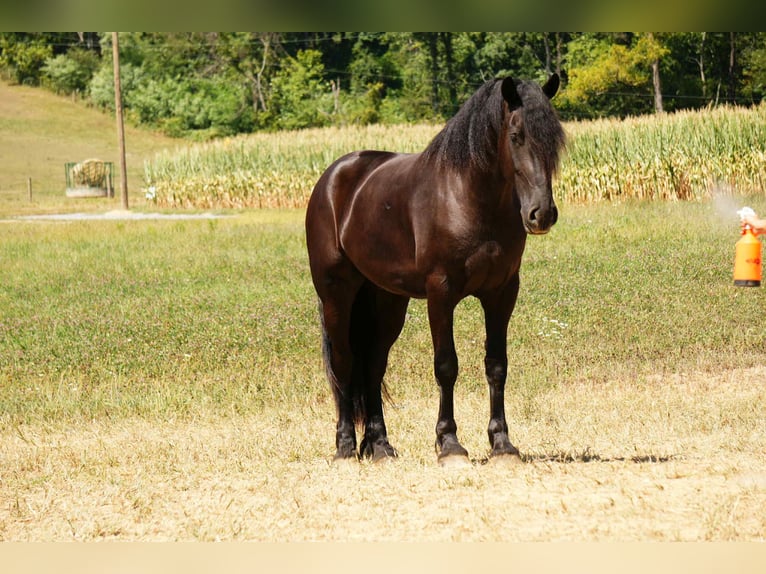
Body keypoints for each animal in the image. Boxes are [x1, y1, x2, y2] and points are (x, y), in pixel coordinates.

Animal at [305, 74, 565, 465]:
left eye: (555, 138)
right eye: (516, 135)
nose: (541, 214)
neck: (468, 198)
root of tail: (333, 178)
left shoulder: (502, 293)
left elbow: (496, 364)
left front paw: (502, 443)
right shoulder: (441, 293)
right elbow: (446, 365)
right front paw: (450, 444)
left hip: (387, 301)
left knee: (373, 364)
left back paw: (380, 446)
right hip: (337, 294)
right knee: (345, 363)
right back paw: (346, 447)